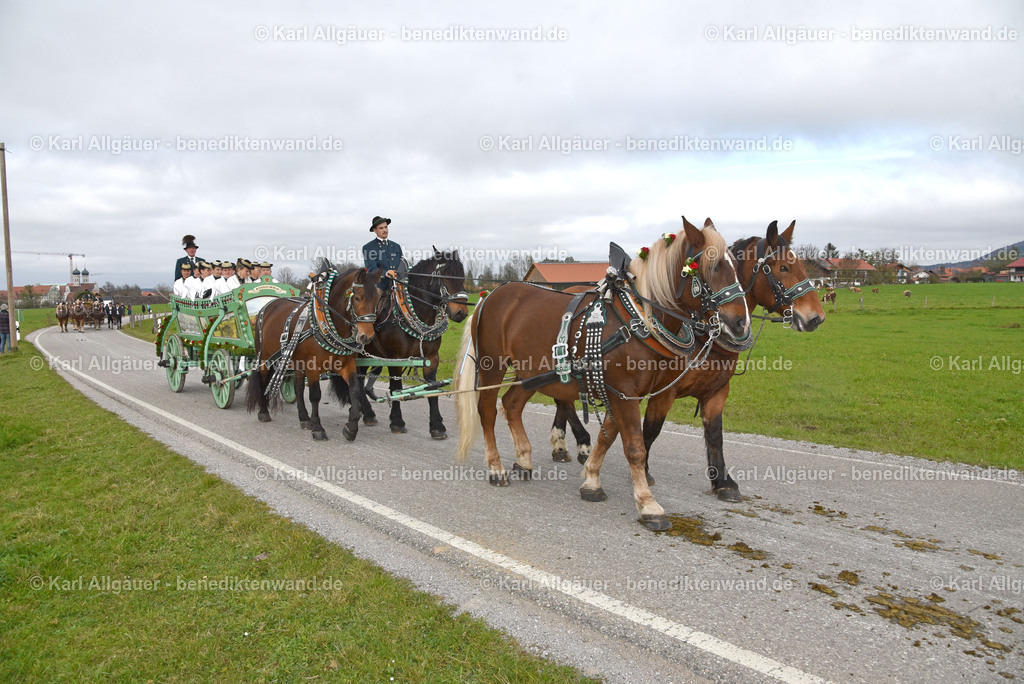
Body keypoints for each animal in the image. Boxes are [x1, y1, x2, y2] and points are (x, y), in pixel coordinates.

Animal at [246, 264, 380, 440]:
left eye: (378, 299)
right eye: (357, 298)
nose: (367, 336)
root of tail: (267, 306)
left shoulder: (346, 365)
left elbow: (355, 390)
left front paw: (351, 428)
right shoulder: (312, 367)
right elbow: (315, 395)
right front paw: (318, 428)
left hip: (295, 361)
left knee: (297, 387)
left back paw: (304, 418)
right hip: (265, 357)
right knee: (262, 380)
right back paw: (263, 412)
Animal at [344, 246, 471, 438]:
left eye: (462, 276)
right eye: (444, 276)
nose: (461, 312)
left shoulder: (432, 358)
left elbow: (432, 388)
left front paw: (437, 425)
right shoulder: (395, 358)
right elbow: (396, 388)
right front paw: (397, 421)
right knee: (358, 380)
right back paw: (367, 413)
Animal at [452, 216, 749, 532]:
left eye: (735, 264)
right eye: (712, 266)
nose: (740, 323)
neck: (638, 320)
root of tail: (488, 296)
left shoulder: (620, 393)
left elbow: (609, 437)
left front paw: (591, 480)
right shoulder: (625, 393)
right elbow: (634, 446)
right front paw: (648, 505)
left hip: (531, 371)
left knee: (511, 404)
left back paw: (523, 459)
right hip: (492, 365)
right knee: (487, 411)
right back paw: (495, 468)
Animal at [548, 222, 827, 493]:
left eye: (802, 265)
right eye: (783, 267)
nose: (816, 317)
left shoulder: (717, 390)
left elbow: (714, 432)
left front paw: (723, 481)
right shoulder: (664, 391)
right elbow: (651, 430)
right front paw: (644, 472)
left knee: (563, 400)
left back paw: (561, 443)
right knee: (566, 402)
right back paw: (580, 444)